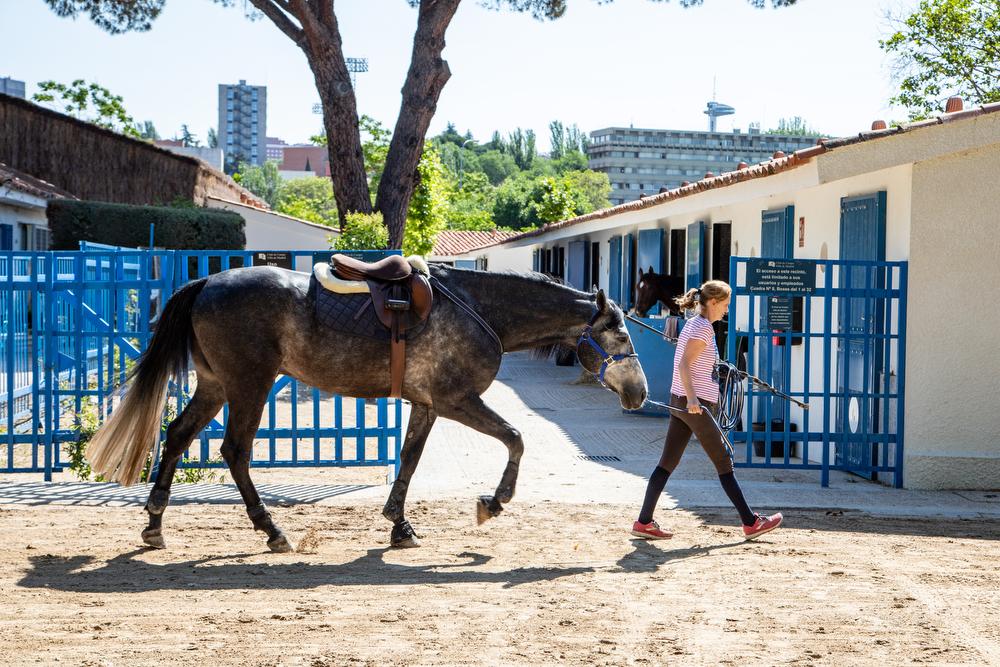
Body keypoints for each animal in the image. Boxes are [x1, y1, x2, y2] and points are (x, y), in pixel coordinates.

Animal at [88, 266, 648, 552]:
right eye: (621, 335)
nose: (641, 393)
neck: (478, 308)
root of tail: (208, 282)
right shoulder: (457, 400)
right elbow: (515, 437)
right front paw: (493, 502)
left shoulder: (427, 404)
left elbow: (410, 460)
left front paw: (399, 525)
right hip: (249, 384)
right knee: (235, 451)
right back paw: (272, 530)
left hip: (215, 386)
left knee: (179, 435)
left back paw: (155, 524)